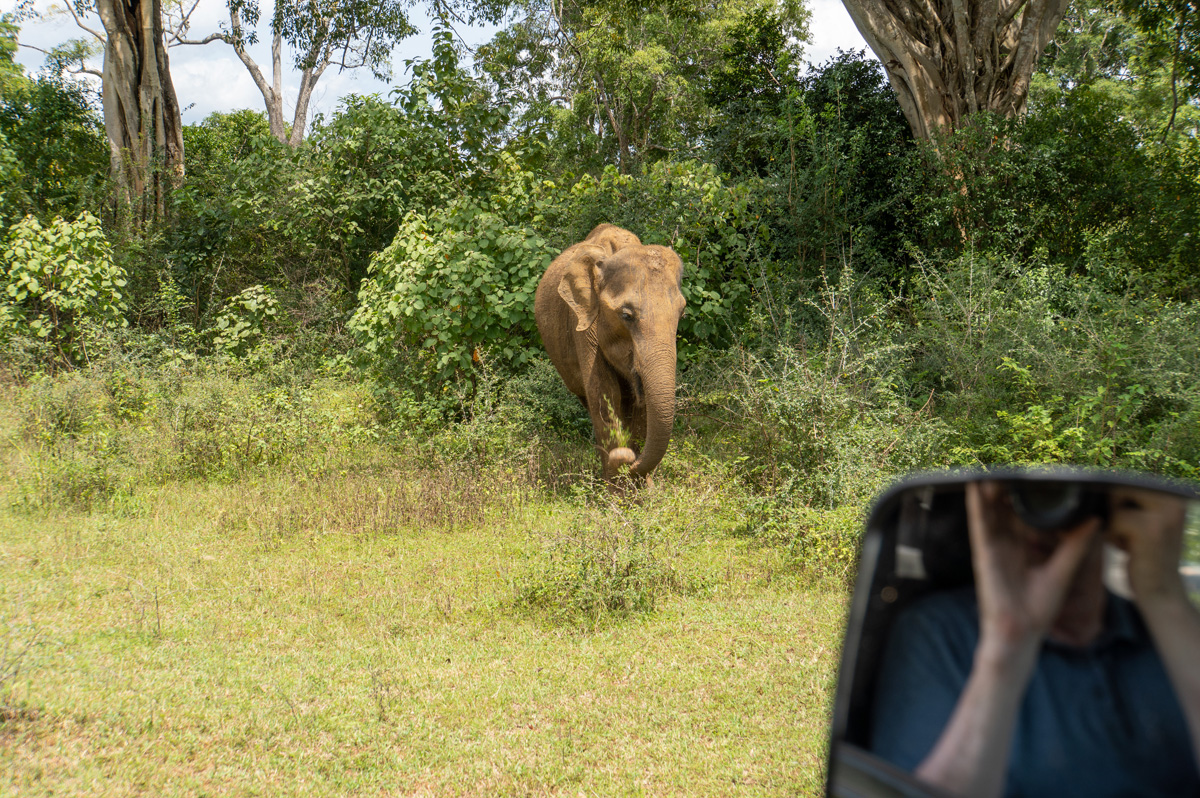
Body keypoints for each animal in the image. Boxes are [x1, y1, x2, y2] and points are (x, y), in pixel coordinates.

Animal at [534, 237, 687, 484]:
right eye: (626, 316)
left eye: (682, 313)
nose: (627, 460)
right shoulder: (584, 326)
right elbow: (604, 394)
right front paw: (618, 486)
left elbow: (641, 408)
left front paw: (642, 488)